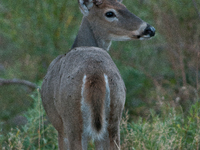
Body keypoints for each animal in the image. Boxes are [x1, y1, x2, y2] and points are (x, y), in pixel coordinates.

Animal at [41, 0, 155, 149]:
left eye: (124, 7)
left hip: (72, 120)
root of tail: (95, 73)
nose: (150, 29)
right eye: (110, 13)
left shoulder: (60, 127)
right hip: (114, 116)